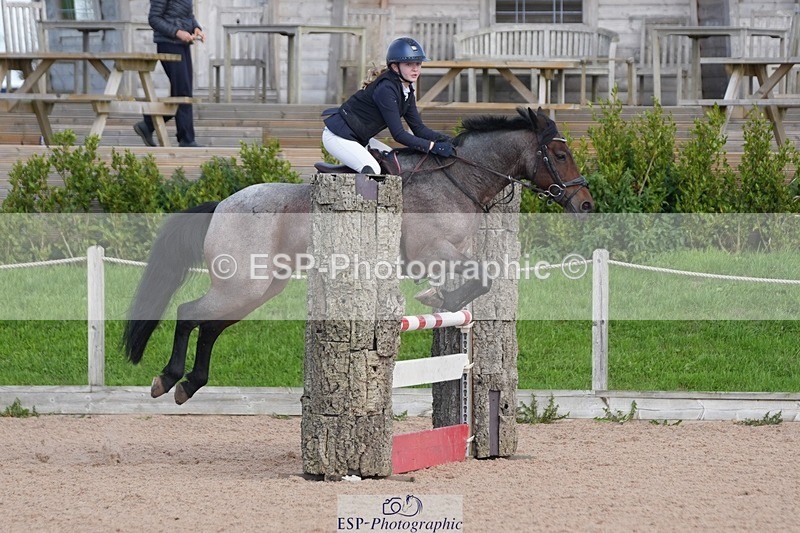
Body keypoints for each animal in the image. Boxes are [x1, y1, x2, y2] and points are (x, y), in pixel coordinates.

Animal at [122, 106, 593, 404]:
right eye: (560, 154)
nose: (586, 205)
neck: (457, 179)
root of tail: (221, 205)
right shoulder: (430, 251)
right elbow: (480, 277)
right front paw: (439, 298)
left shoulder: (453, 253)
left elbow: (481, 278)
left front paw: (440, 298)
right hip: (242, 284)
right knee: (189, 314)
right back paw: (168, 379)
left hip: (256, 289)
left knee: (210, 326)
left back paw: (189, 385)